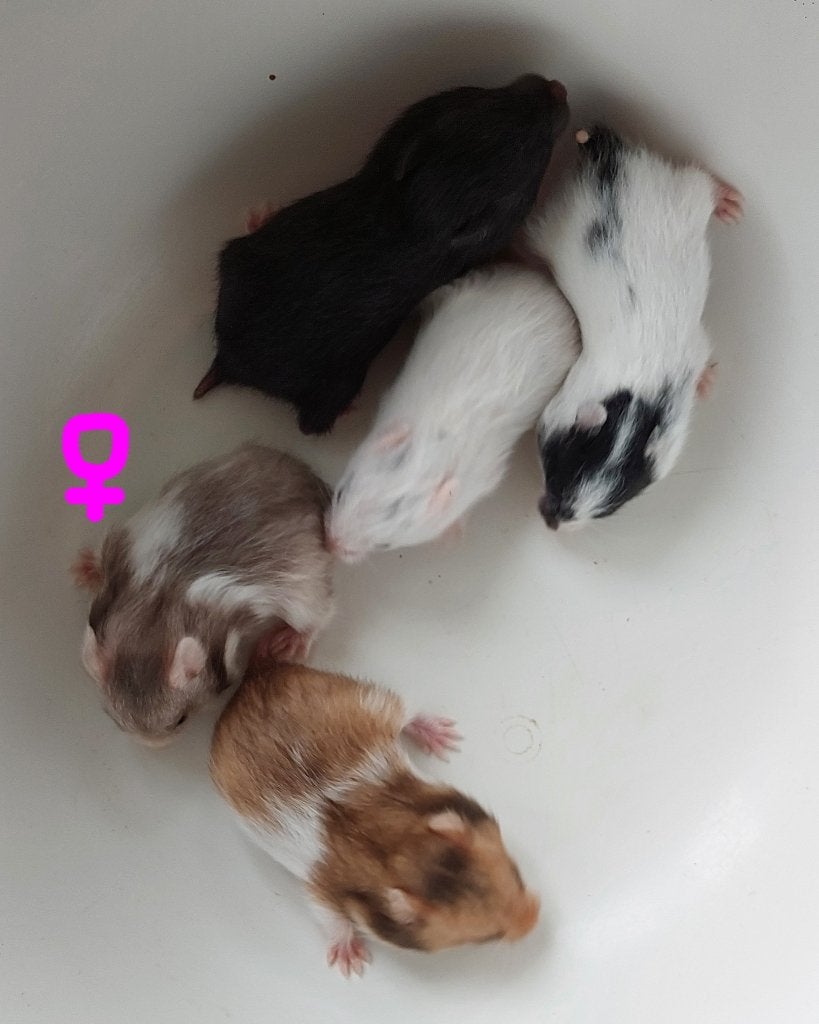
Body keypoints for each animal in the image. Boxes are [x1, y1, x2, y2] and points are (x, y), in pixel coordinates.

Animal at [72, 443, 334, 745]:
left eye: (180, 720)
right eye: (116, 722)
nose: (154, 746)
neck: (158, 605)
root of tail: (311, 481)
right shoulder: (120, 549)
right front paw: (83, 569)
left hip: (304, 585)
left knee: (319, 615)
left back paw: (290, 644)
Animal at [195, 74, 570, 435]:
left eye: (481, 97)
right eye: (536, 157)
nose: (558, 87)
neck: (416, 210)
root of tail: (228, 360)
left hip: (238, 257)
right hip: (333, 384)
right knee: (310, 425)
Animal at [210, 663, 539, 977]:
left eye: (517, 875)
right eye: (487, 937)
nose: (536, 917)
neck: (394, 847)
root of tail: (251, 681)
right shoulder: (321, 892)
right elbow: (332, 920)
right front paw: (352, 965)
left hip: (371, 701)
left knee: (410, 712)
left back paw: (445, 738)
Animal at [324, 264, 580, 561]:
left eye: (384, 545)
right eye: (340, 493)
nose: (330, 544)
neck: (433, 452)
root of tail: (553, 292)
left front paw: (451, 537)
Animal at [523, 125, 744, 528]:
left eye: (609, 507)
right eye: (555, 468)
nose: (551, 522)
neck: (643, 395)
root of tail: (606, 155)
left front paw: (707, 382)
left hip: (673, 193)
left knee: (703, 182)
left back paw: (732, 205)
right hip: (564, 219)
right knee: (701, 179)